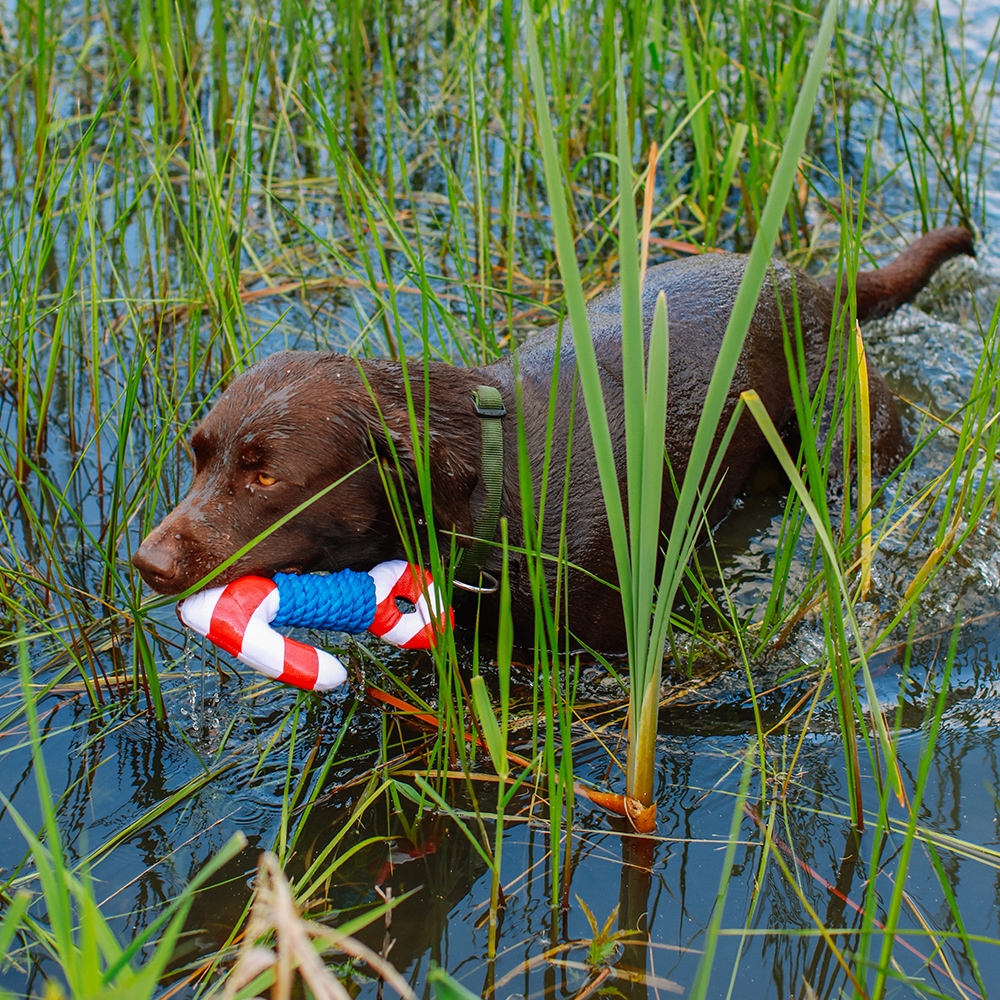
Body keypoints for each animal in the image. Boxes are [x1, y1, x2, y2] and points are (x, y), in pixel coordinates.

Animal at [135, 226, 976, 648]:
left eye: (266, 476)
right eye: (197, 457)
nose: (147, 562)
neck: (487, 491)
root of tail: (817, 283)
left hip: (848, 443)